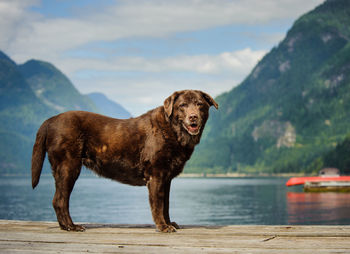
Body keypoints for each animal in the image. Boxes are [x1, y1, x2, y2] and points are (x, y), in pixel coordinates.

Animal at [31, 89, 217, 232]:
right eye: (182, 105)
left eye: (199, 104)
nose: (193, 117)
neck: (172, 131)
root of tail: (50, 120)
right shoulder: (156, 175)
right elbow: (158, 204)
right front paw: (163, 227)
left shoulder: (166, 178)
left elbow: (166, 205)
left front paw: (169, 223)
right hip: (68, 167)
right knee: (60, 200)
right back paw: (72, 226)